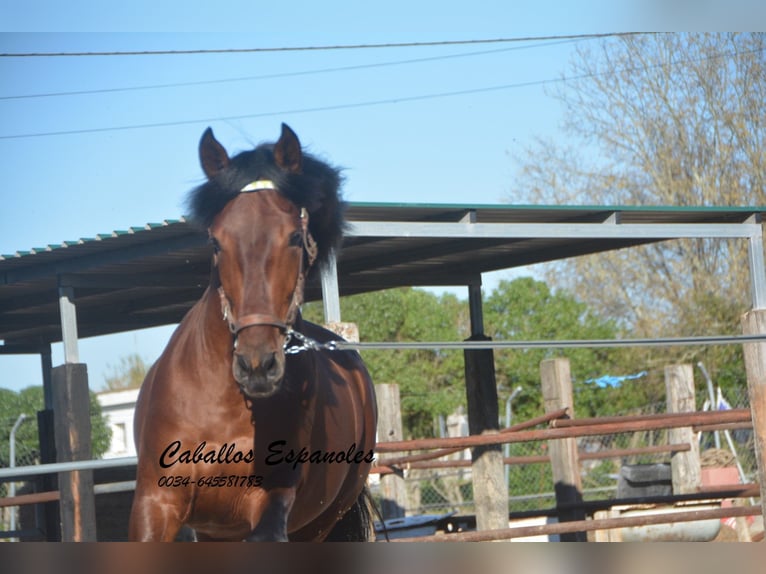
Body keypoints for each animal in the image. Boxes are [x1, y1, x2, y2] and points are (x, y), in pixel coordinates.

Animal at [130, 124, 380, 544]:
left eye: (294, 237)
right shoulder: (158, 501)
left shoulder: (270, 503)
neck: (224, 407)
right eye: (215, 241)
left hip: (319, 523)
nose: (257, 365)